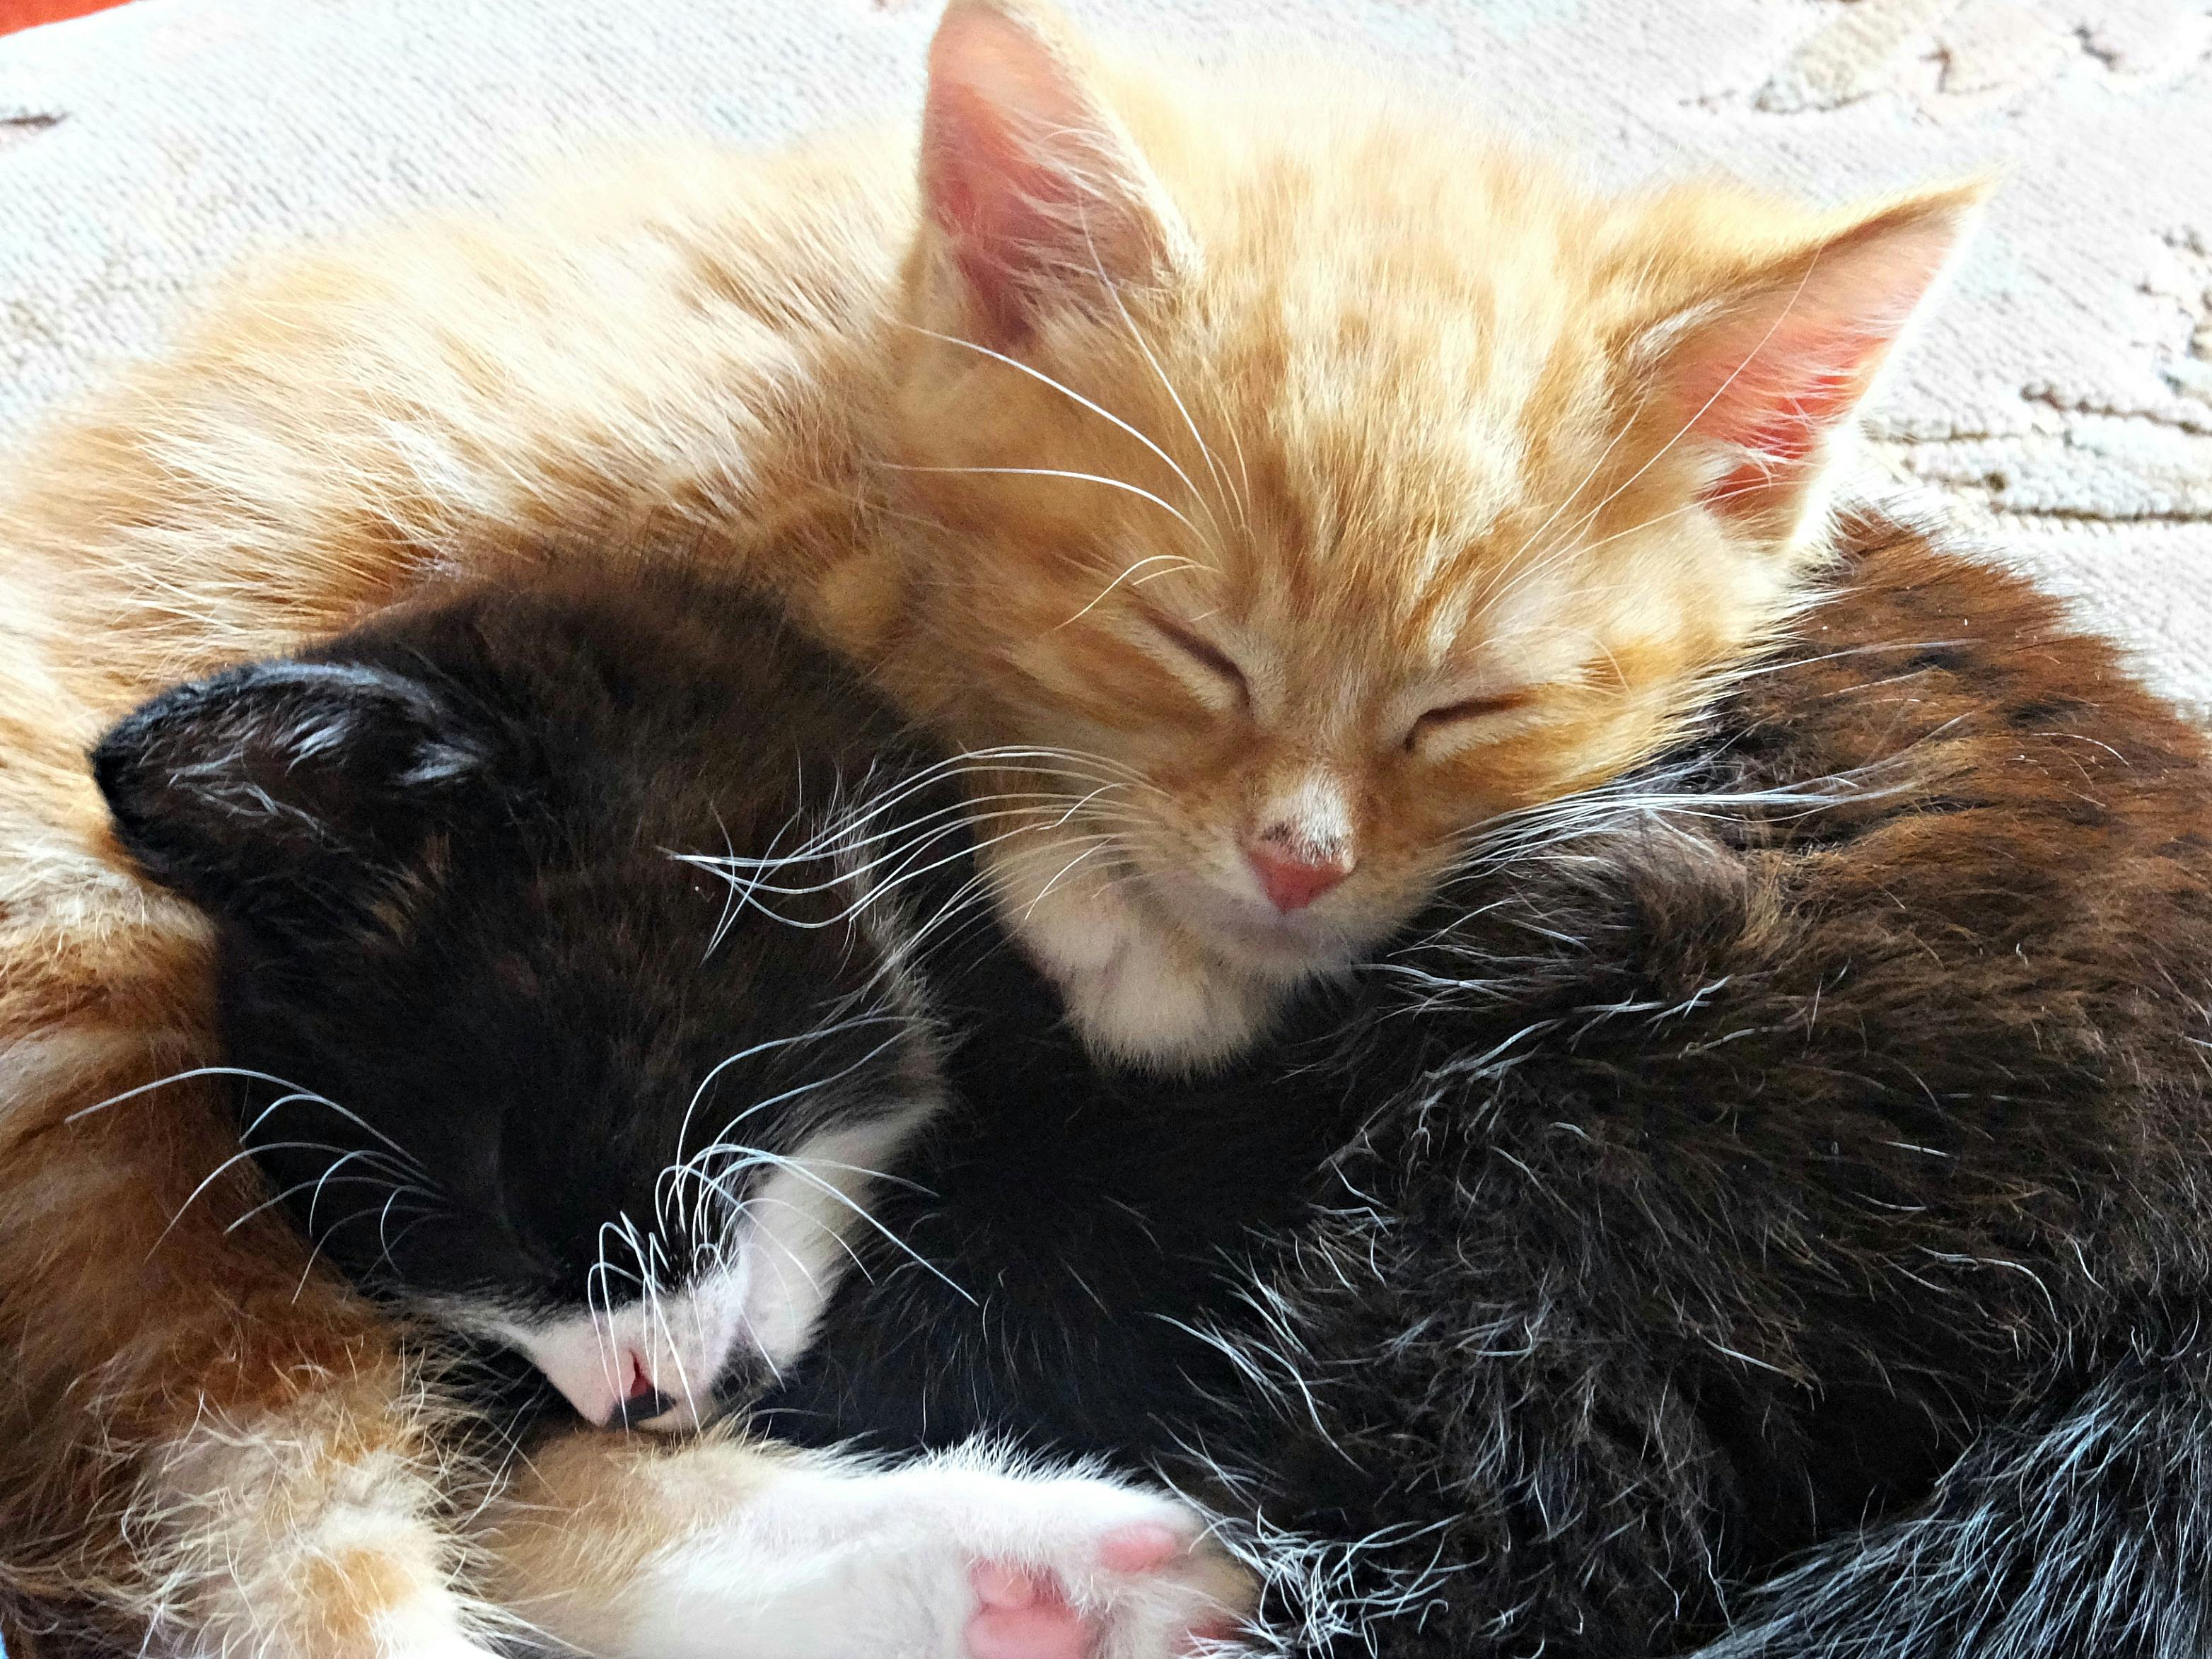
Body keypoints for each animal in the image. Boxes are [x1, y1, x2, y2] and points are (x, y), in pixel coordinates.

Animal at [0, 0, 1973, 1654]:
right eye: (1186, 644)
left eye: (1466, 711)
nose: (1298, 867)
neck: (862, 399)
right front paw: (1123, 925)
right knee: (333, 1552)